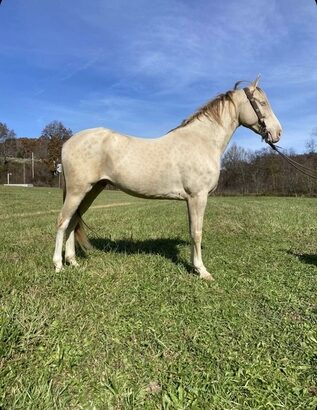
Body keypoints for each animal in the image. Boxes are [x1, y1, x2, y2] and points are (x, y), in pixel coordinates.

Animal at [52, 76, 282, 282]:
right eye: (262, 103)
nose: (277, 133)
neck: (202, 140)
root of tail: (69, 142)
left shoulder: (191, 199)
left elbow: (191, 231)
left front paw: (194, 267)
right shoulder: (198, 197)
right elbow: (197, 232)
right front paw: (202, 271)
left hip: (91, 190)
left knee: (73, 222)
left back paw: (73, 261)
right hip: (78, 190)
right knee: (63, 222)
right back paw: (58, 265)